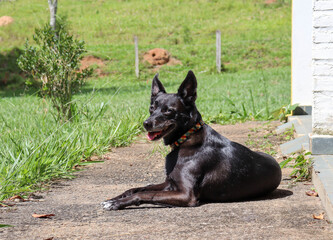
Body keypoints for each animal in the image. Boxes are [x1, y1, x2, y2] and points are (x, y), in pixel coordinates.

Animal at [100, 71, 280, 210]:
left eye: (168, 111)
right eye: (151, 108)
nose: (146, 124)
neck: (186, 139)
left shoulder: (186, 194)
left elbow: (148, 193)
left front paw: (117, 203)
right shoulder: (170, 183)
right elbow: (140, 188)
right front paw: (114, 198)